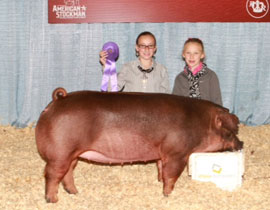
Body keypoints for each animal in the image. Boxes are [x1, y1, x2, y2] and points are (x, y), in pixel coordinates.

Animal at [34, 87, 244, 202]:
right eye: (231, 131)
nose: (241, 143)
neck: (201, 122)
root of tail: (57, 101)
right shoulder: (178, 153)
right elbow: (171, 175)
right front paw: (167, 195)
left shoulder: (163, 152)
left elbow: (160, 167)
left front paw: (158, 181)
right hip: (61, 152)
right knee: (51, 174)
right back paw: (52, 200)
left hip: (72, 154)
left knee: (67, 173)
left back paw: (74, 193)